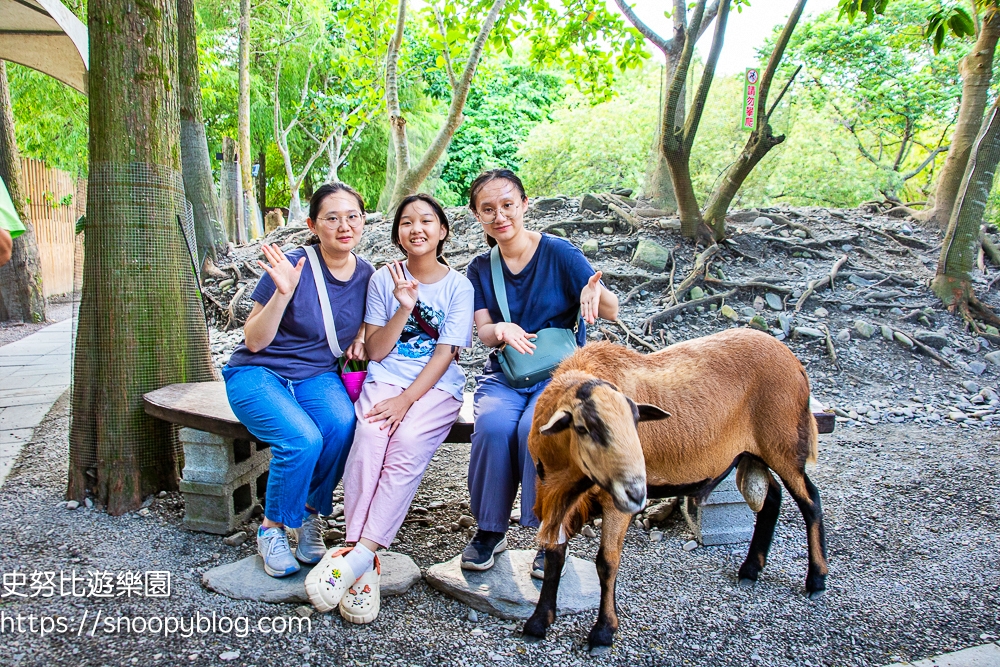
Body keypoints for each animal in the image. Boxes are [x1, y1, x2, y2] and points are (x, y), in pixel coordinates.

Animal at [520, 328, 824, 652]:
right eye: (583, 428)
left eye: (636, 423)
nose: (637, 492)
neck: (566, 480)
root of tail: (792, 359)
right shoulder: (554, 495)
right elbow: (555, 554)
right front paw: (538, 622)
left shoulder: (613, 503)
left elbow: (606, 562)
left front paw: (603, 632)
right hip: (752, 452)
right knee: (771, 498)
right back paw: (750, 570)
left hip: (784, 444)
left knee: (811, 502)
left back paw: (816, 580)